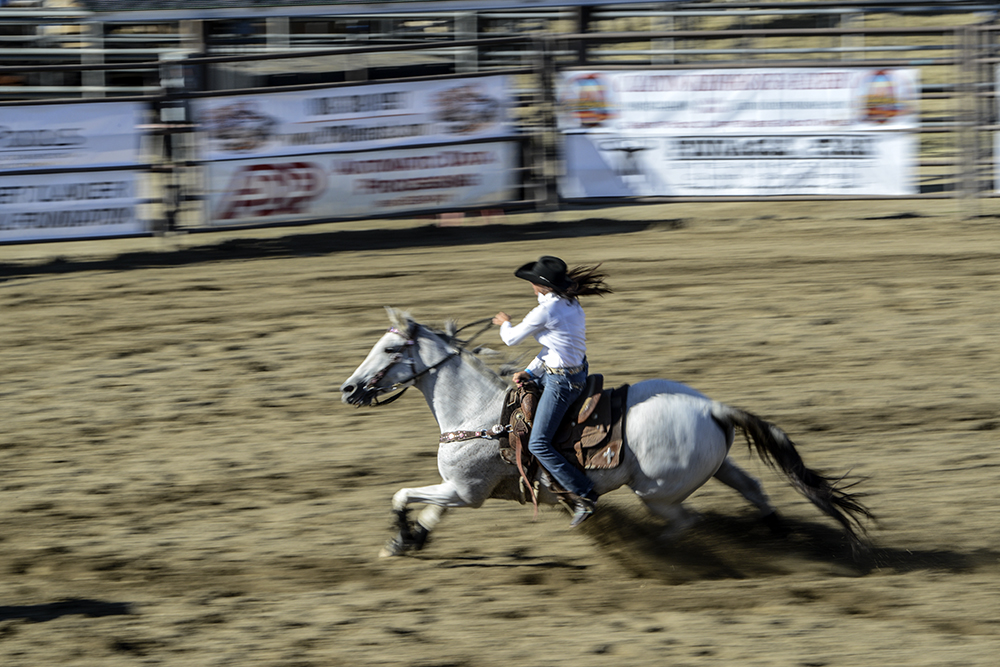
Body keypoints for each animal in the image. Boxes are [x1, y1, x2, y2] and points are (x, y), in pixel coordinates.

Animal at [340, 308, 872, 560]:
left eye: (389, 349)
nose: (348, 389)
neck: (477, 413)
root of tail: (713, 407)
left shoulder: (465, 491)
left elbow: (401, 495)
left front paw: (399, 538)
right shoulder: (461, 490)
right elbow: (427, 510)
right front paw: (408, 542)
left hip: (657, 492)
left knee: (685, 522)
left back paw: (655, 549)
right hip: (719, 465)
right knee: (755, 488)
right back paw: (779, 535)